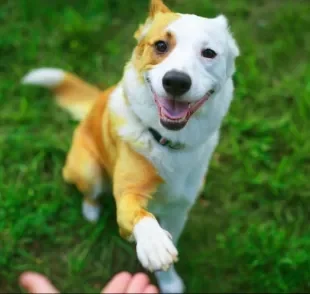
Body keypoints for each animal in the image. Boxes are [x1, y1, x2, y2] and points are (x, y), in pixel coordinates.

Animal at [21, 1, 240, 292]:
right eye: (161, 45)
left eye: (209, 53)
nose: (176, 81)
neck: (167, 142)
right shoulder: (128, 194)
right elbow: (137, 213)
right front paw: (154, 244)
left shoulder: (178, 210)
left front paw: (169, 282)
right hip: (89, 170)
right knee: (89, 191)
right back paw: (91, 210)